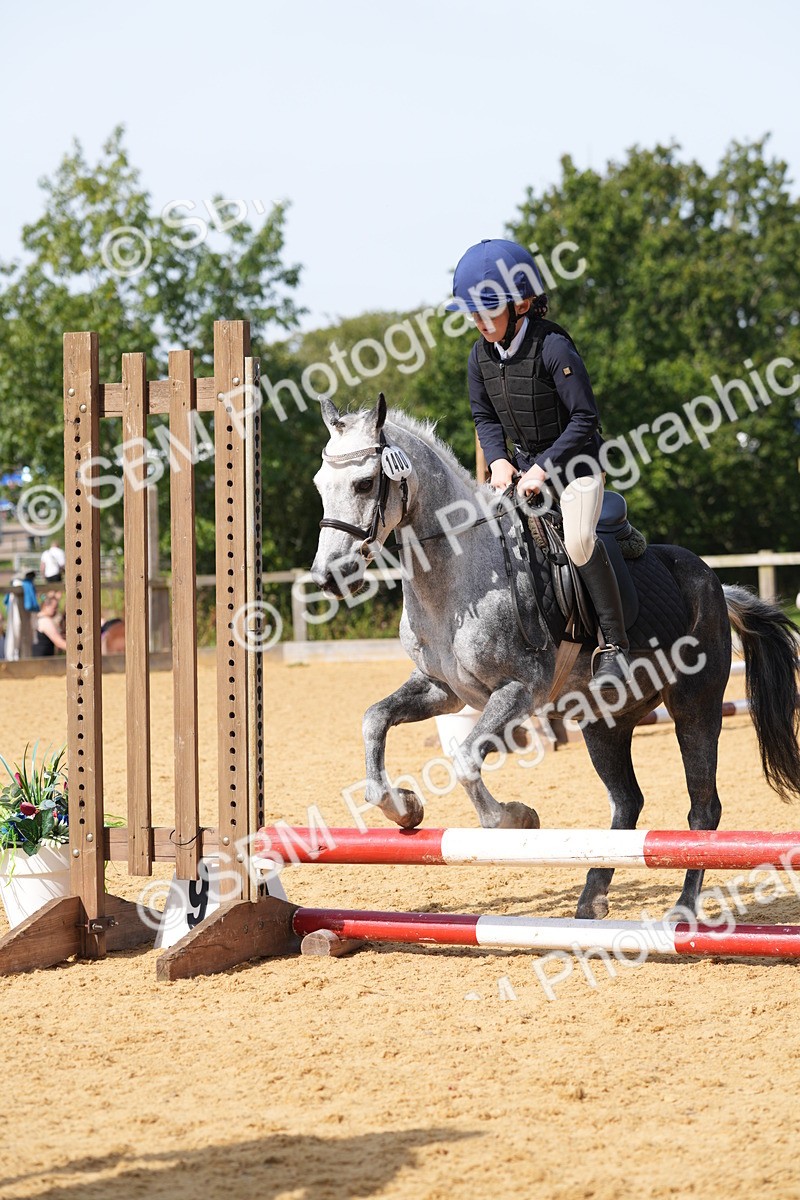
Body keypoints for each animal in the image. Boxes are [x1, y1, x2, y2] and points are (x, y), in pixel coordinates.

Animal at [310, 394, 800, 919]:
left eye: (364, 483)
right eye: (320, 485)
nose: (329, 577)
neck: (460, 576)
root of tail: (715, 584)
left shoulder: (518, 690)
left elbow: (465, 761)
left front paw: (517, 819)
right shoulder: (443, 690)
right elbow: (374, 720)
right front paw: (403, 807)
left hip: (696, 707)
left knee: (703, 807)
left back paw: (684, 908)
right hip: (605, 721)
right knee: (626, 802)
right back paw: (591, 899)